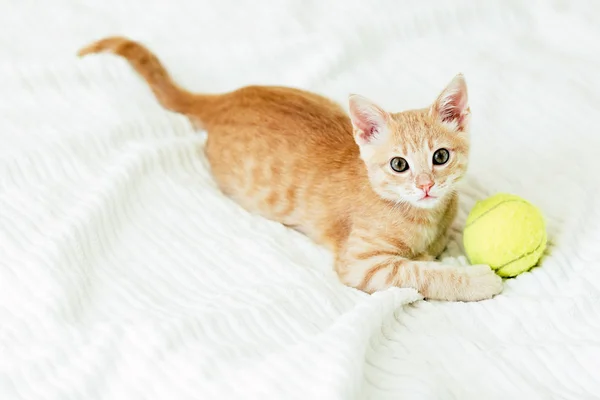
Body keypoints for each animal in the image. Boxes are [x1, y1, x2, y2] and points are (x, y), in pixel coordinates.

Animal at [78, 37, 502, 302]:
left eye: (440, 157)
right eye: (399, 164)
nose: (426, 185)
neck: (422, 217)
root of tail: (226, 100)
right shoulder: (361, 265)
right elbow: (419, 273)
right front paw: (476, 279)